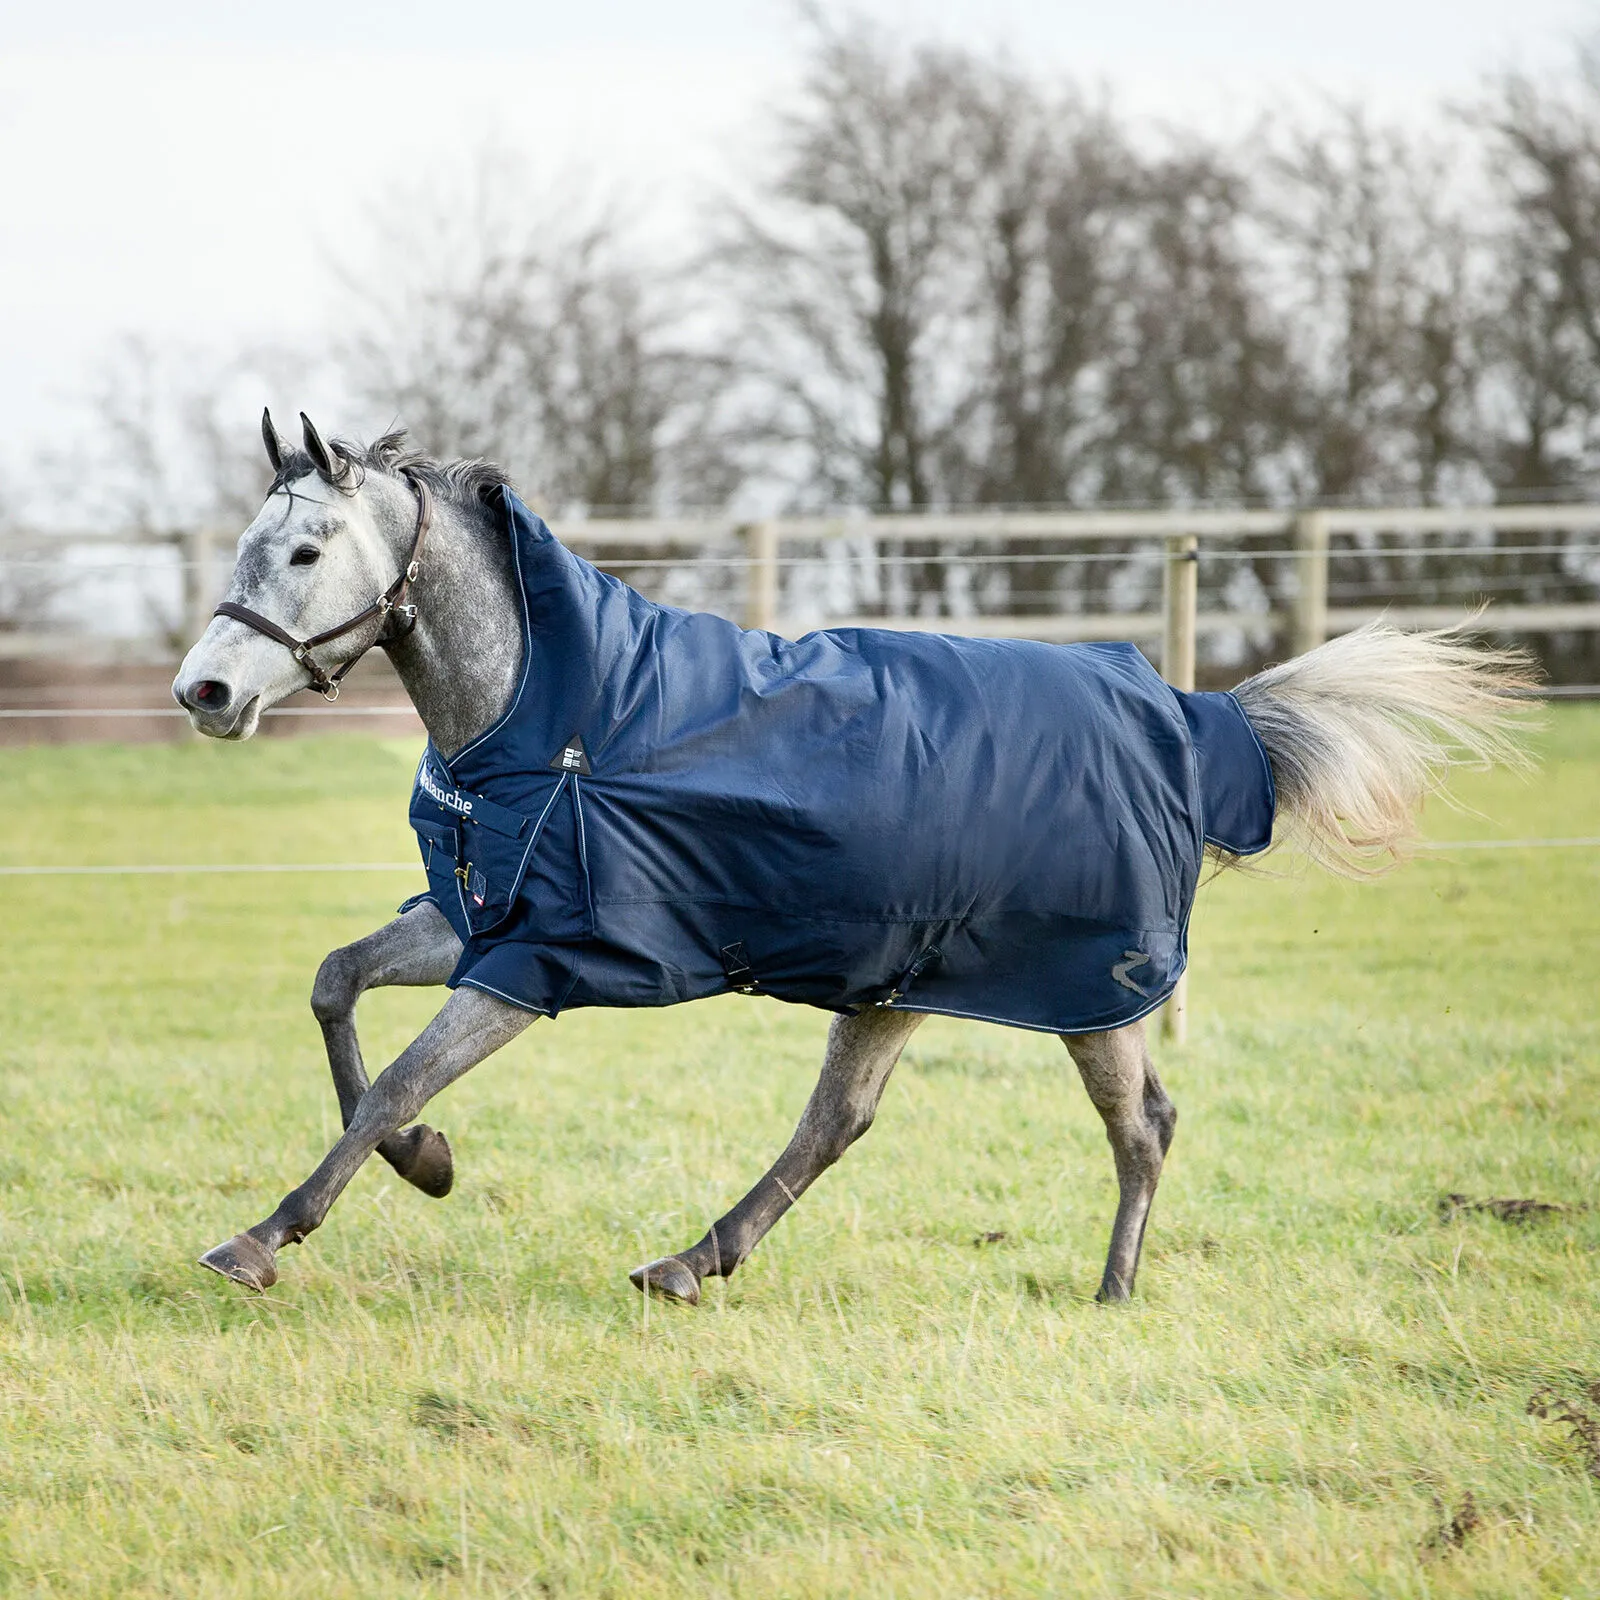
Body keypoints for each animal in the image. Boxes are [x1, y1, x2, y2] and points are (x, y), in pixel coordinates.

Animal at [168, 409, 1529, 1299]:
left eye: (302, 552)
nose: (204, 691)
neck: (551, 716)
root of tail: (1187, 718)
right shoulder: (478, 921)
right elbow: (336, 985)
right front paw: (428, 1168)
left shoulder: (532, 964)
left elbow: (399, 1077)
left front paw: (265, 1237)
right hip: (900, 981)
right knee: (838, 1122)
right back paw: (691, 1260)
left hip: (1086, 989)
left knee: (1142, 1123)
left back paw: (1112, 1290)